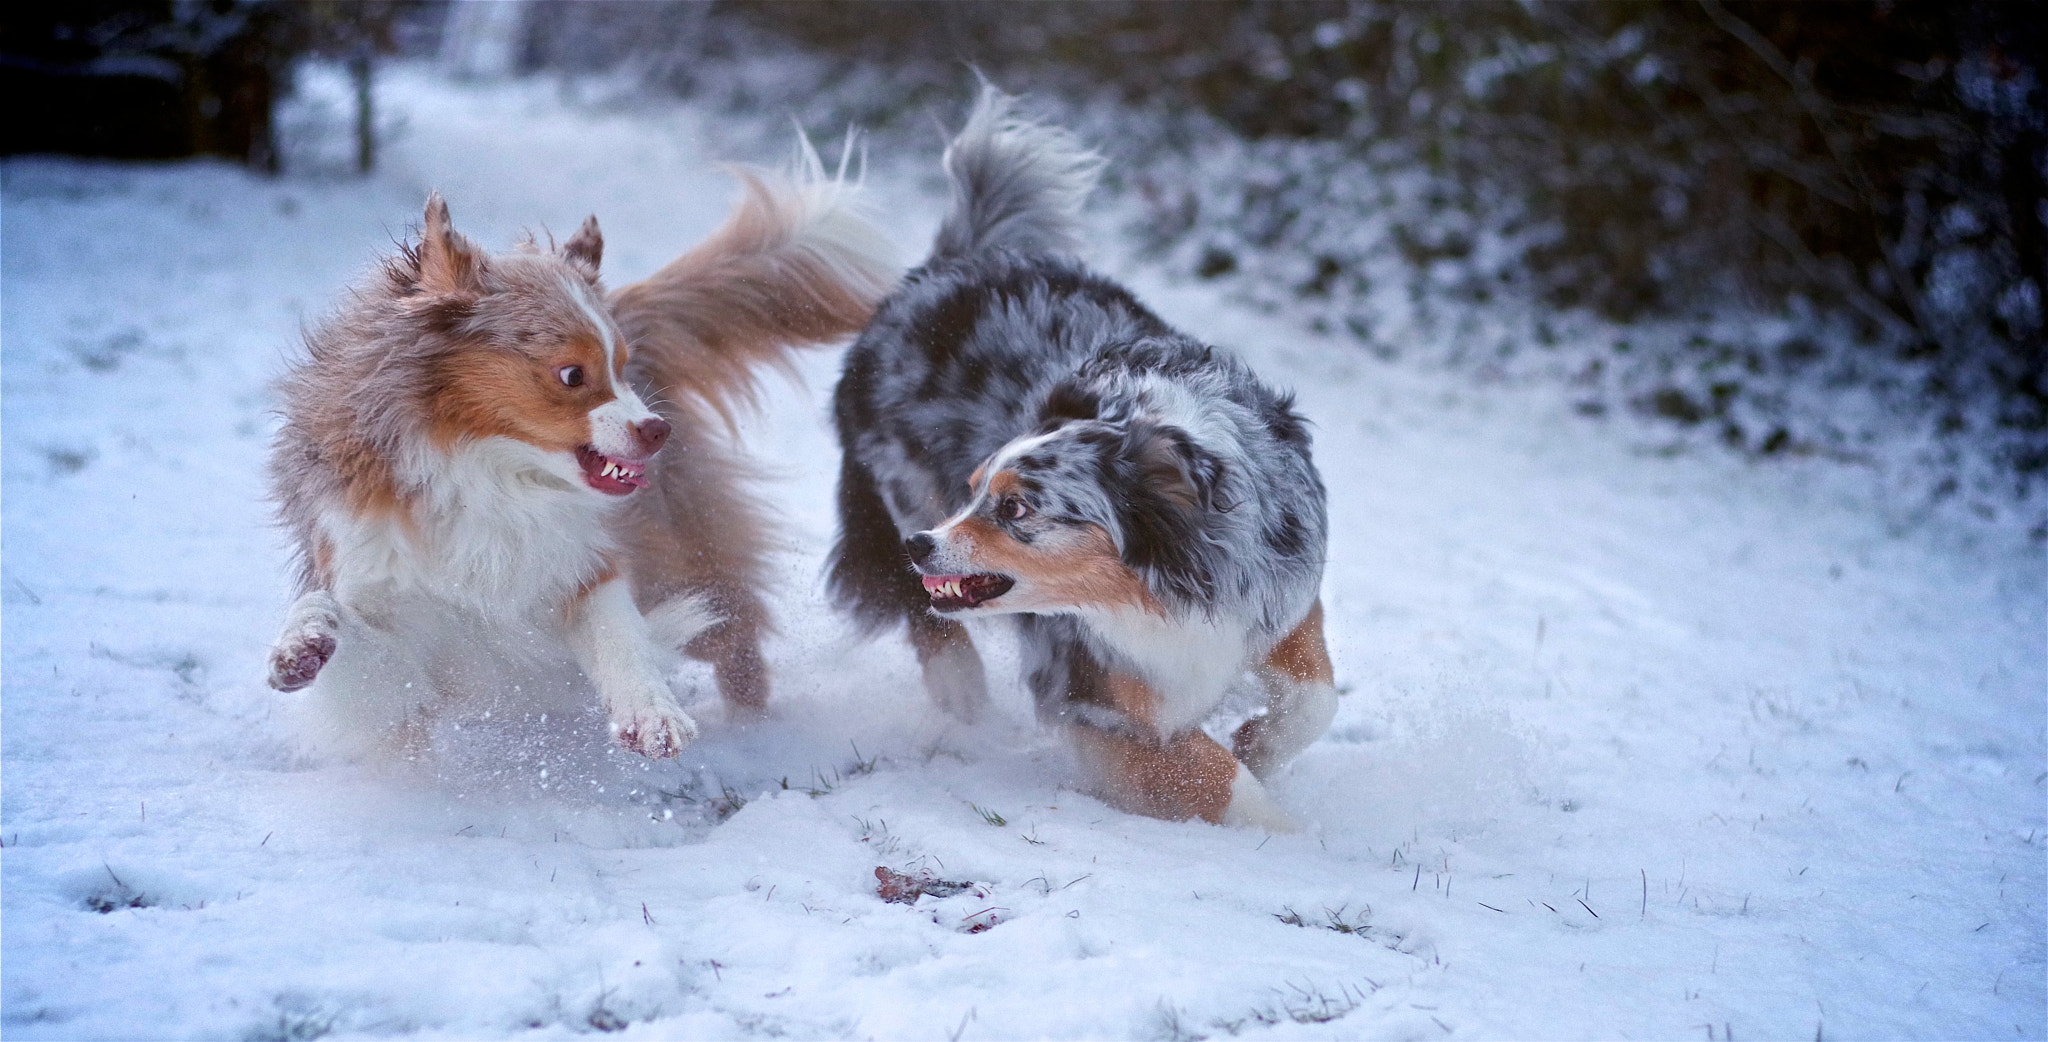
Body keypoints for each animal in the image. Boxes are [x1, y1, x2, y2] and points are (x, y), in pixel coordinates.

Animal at [264, 152, 897, 757]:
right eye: (572, 374)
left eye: (622, 365)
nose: (658, 430)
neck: (486, 473)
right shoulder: (386, 625)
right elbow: (346, 634)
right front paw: (303, 642)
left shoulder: (581, 563)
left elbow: (618, 632)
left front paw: (652, 712)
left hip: (686, 548)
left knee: (735, 640)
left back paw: (755, 735)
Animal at [823, 87, 1335, 827]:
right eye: (973, 488)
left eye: (1016, 508)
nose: (924, 543)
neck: (1165, 588)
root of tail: (950, 263)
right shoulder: (1087, 687)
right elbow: (1210, 775)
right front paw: (1278, 825)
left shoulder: (1277, 599)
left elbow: (1315, 701)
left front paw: (1258, 745)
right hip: (894, 485)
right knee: (919, 606)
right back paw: (959, 688)